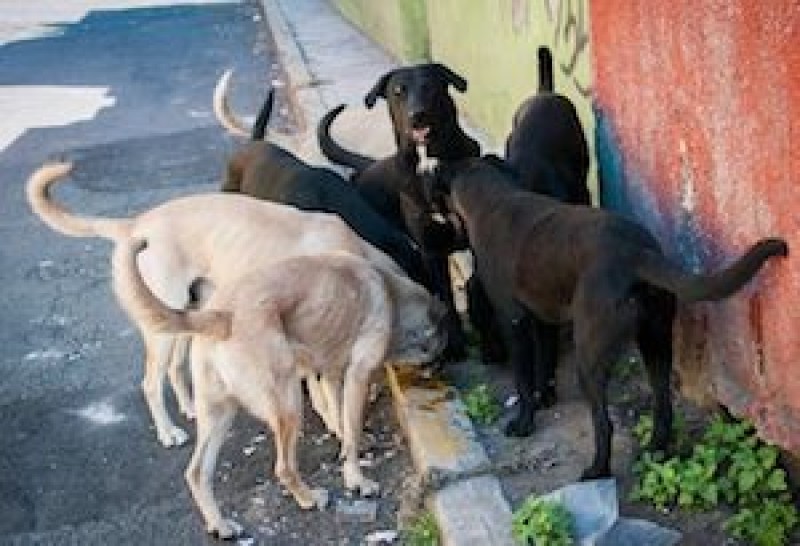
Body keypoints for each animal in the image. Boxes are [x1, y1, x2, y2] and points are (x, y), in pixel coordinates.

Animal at [27, 162, 404, 446]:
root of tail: (136, 224)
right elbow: (327, 393)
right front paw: (341, 428)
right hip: (162, 328)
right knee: (151, 383)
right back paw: (168, 432)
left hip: (185, 314)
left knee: (175, 367)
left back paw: (191, 407)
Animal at [119, 238, 446, 536]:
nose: (438, 369)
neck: (390, 293)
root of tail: (220, 316)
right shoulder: (357, 377)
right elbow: (351, 433)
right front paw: (357, 480)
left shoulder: (331, 375)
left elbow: (340, 419)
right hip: (289, 405)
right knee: (284, 468)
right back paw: (309, 498)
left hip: (219, 415)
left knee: (197, 473)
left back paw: (220, 525)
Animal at [318, 62, 482, 356]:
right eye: (398, 91)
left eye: (430, 85)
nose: (417, 116)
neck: (429, 163)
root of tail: (367, 165)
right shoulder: (431, 251)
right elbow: (446, 300)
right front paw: (455, 345)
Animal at [444, 156, 788, 476]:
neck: (494, 198)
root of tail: (635, 253)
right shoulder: (542, 320)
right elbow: (545, 365)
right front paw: (545, 397)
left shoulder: (513, 321)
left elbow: (523, 381)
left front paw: (524, 422)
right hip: (655, 342)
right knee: (663, 407)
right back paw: (654, 451)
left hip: (590, 358)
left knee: (604, 424)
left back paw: (597, 470)